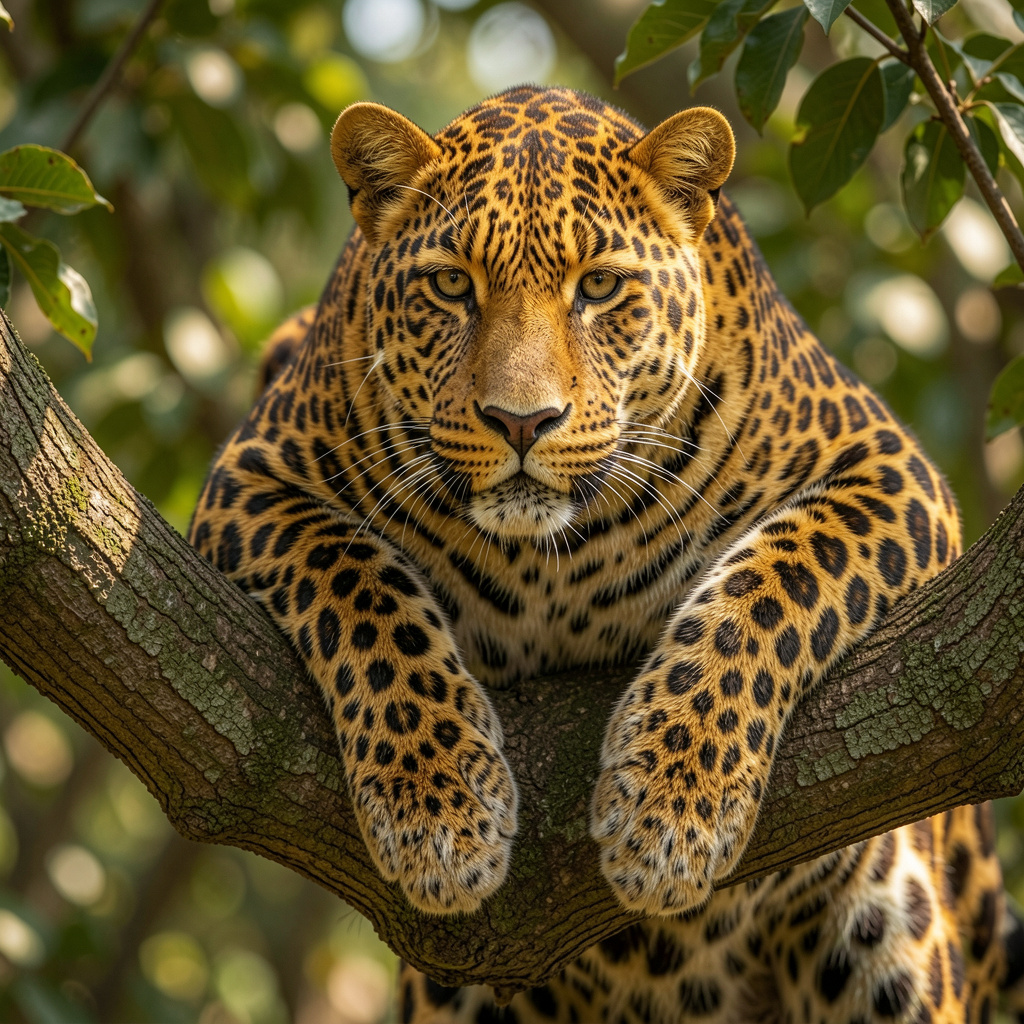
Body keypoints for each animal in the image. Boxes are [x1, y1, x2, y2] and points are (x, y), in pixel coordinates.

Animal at [189, 85, 1024, 1023]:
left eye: (598, 286)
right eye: (451, 284)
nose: (521, 421)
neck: (545, 560)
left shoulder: (888, 469)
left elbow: (770, 588)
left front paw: (670, 809)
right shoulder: (252, 479)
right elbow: (364, 595)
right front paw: (438, 813)